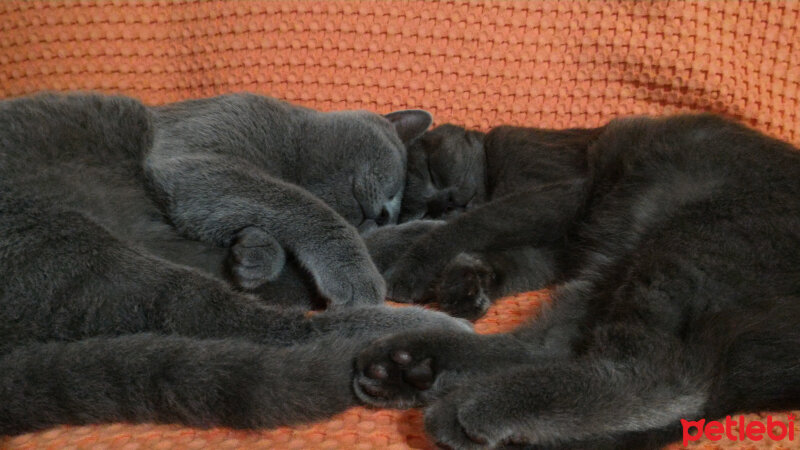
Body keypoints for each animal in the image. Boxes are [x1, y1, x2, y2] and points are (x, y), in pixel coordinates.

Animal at [0, 93, 476, 434]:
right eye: (395, 181)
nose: (385, 213)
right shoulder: (197, 156)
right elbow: (297, 203)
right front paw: (353, 270)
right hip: (63, 243)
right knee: (242, 324)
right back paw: (427, 334)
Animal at [356, 117, 800, 450]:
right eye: (419, 205)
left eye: (435, 168)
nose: (446, 201)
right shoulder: (560, 250)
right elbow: (501, 252)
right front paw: (460, 282)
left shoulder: (557, 188)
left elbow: (476, 222)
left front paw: (410, 265)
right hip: (614, 266)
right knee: (549, 346)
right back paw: (412, 366)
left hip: (686, 241)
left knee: (665, 380)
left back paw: (470, 405)